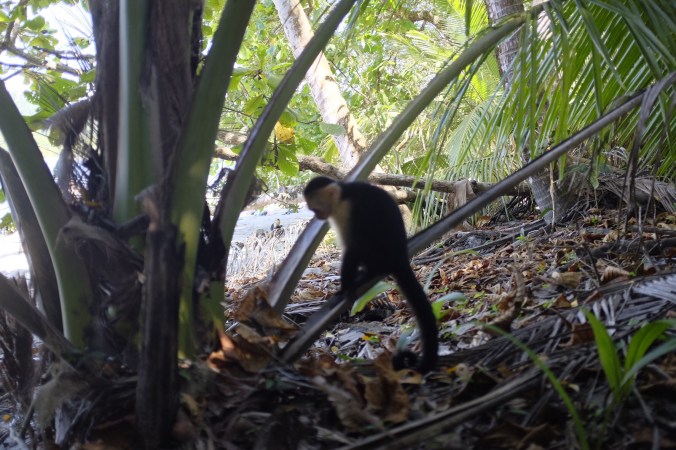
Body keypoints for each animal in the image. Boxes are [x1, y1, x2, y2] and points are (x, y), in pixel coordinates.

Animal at [304, 176, 438, 373]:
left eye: (316, 209)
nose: (318, 217)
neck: (343, 195)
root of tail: (400, 256)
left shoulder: (347, 209)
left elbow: (353, 247)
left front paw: (344, 289)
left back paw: (369, 273)